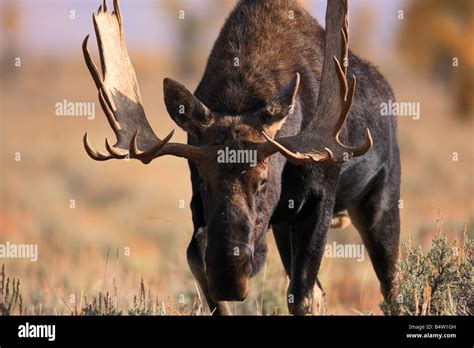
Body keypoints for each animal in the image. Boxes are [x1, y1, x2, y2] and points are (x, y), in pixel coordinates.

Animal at [81, 0, 400, 316]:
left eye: (262, 181)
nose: (230, 278)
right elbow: (196, 259)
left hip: (379, 200)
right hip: (283, 227)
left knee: (390, 286)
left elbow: (302, 295)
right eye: (204, 181)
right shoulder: (198, 204)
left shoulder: (320, 200)